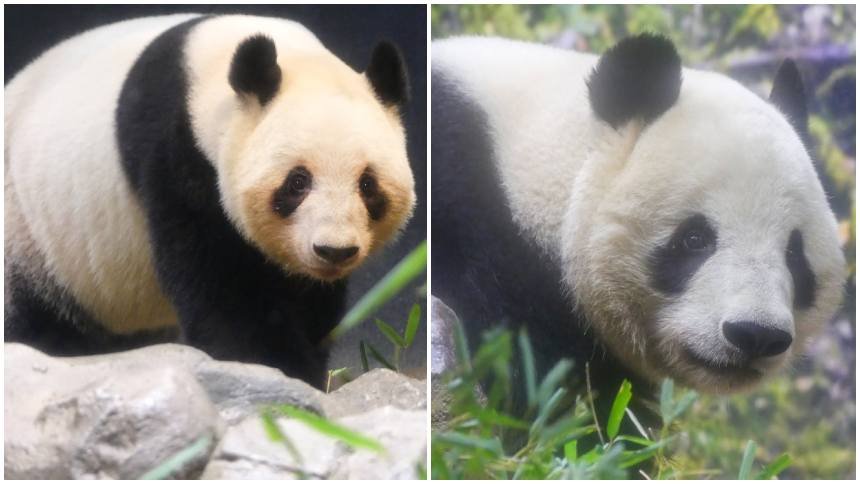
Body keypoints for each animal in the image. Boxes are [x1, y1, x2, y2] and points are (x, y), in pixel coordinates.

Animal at [5, 14, 416, 388]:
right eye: (297, 182)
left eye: (367, 184)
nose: (334, 251)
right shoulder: (177, 156)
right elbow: (220, 283)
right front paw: (274, 365)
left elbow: (309, 302)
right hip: (28, 230)